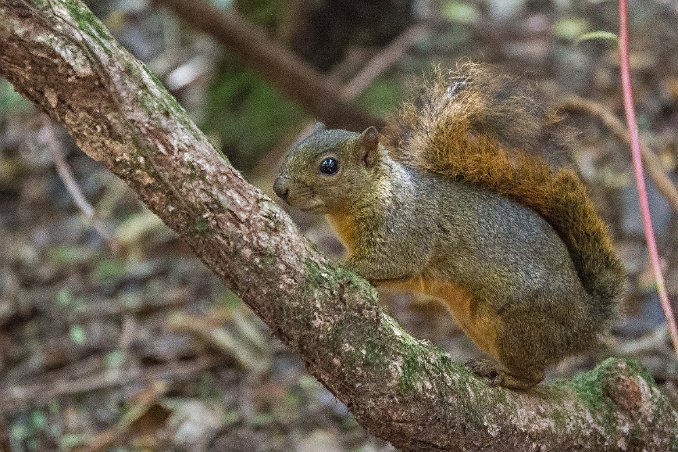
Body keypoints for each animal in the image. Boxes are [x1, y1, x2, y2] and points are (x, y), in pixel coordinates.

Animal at [270, 61, 628, 390]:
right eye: (292, 149)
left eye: (329, 166)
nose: (279, 188)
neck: (378, 191)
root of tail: (587, 319)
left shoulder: (405, 229)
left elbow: (389, 261)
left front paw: (338, 265)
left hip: (517, 324)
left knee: (535, 376)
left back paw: (502, 374)